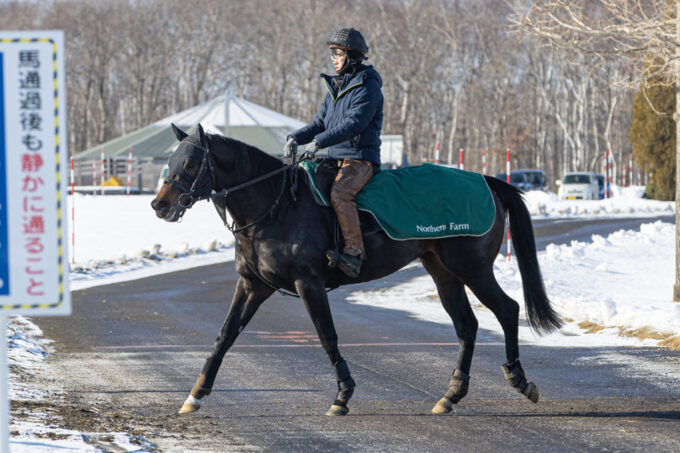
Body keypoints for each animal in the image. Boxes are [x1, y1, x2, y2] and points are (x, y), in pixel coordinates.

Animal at [151, 123, 560, 416]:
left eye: (191, 162)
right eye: (170, 160)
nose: (160, 205)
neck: (276, 205)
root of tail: (485, 181)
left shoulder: (308, 283)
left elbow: (327, 336)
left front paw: (343, 395)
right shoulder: (253, 285)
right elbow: (225, 336)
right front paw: (195, 394)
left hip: (473, 269)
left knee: (507, 309)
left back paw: (519, 379)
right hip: (443, 273)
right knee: (467, 326)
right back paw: (451, 394)